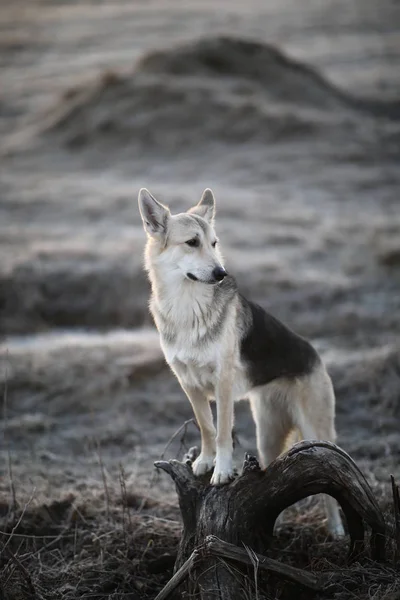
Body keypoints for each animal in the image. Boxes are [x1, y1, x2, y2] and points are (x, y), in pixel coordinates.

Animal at [138, 186, 344, 536]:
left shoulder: (222, 383)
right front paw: (204, 463)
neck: (187, 307)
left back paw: (338, 531)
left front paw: (221, 471)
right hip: (268, 436)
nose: (221, 274)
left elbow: (223, 431)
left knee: (330, 485)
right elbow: (207, 427)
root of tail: (315, 354)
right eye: (192, 242)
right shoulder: (189, 383)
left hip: (315, 433)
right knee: (273, 483)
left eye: (214, 243)